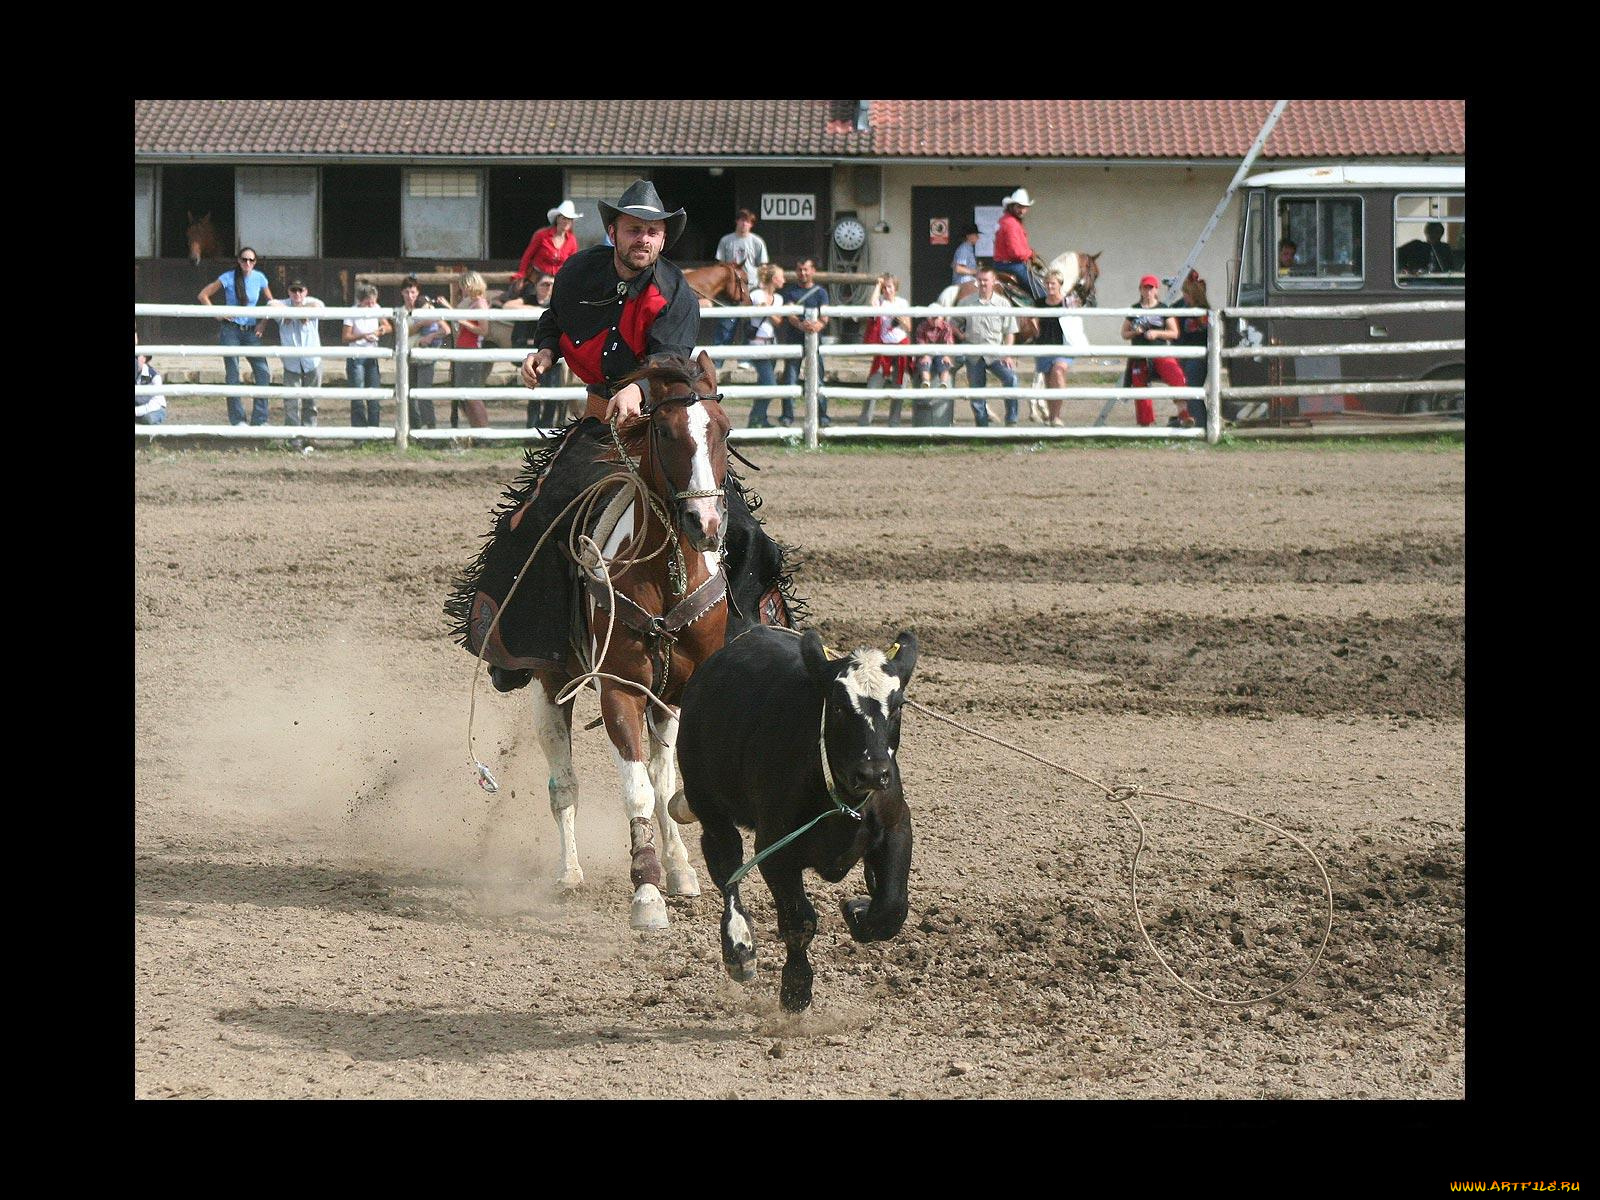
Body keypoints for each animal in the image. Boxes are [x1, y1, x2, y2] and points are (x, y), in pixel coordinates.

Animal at [675, 630, 921, 1017]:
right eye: (837, 706)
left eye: (897, 706)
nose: (873, 773)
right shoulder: (775, 850)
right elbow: (799, 921)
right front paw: (796, 987)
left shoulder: (898, 828)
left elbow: (891, 907)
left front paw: (858, 909)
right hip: (709, 806)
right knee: (726, 868)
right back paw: (739, 948)